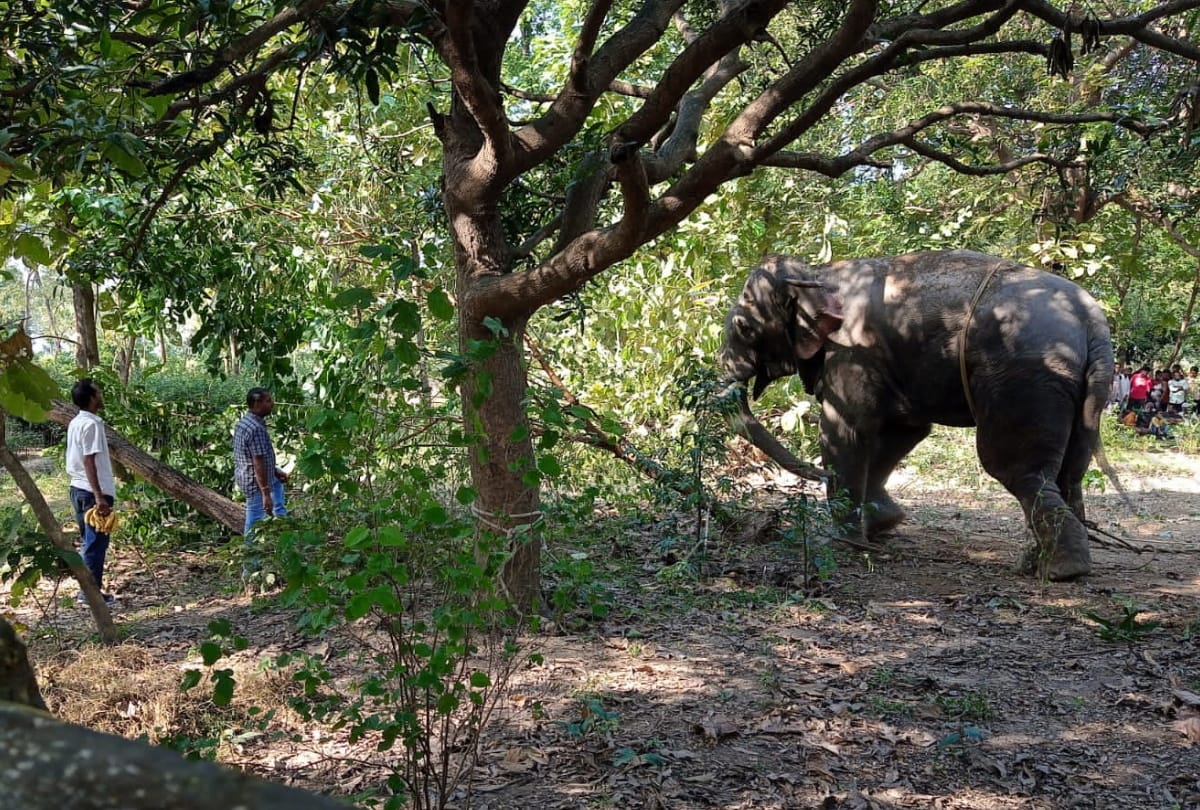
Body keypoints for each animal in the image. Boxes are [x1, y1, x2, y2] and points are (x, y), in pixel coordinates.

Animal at [717, 249, 1115, 581]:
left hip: (1027, 379)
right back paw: (1043, 563)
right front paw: (885, 523)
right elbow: (905, 430)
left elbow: (847, 430)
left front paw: (846, 544)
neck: (816, 272)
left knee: (1016, 468)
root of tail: (1091, 322)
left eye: (744, 328)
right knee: (1070, 473)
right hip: (1086, 389)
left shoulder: (852, 352)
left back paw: (1062, 572)